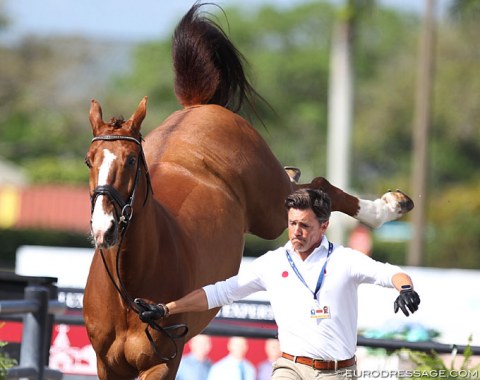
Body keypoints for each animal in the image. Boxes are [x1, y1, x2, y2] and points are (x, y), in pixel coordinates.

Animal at [83, 3, 412, 380]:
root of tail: (201, 107)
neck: (130, 284)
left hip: (270, 210)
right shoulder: (107, 365)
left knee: (317, 187)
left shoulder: (162, 364)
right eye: (89, 160)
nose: (104, 228)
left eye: (133, 160)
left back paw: (389, 206)